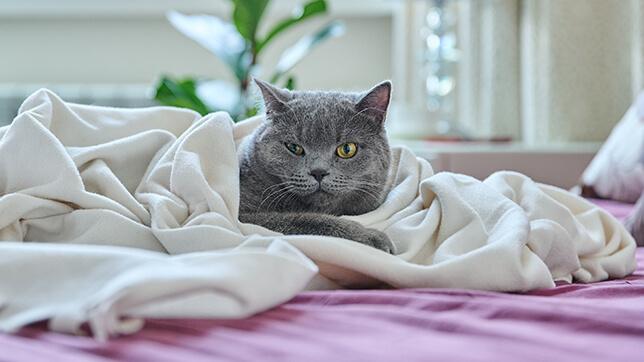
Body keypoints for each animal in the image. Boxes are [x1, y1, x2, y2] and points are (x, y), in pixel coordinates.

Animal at [238, 78, 398, 255]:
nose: (319, 172)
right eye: (294, 147)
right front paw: (372, 237)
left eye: (347, 149)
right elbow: (306, 220)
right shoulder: (243, 218)